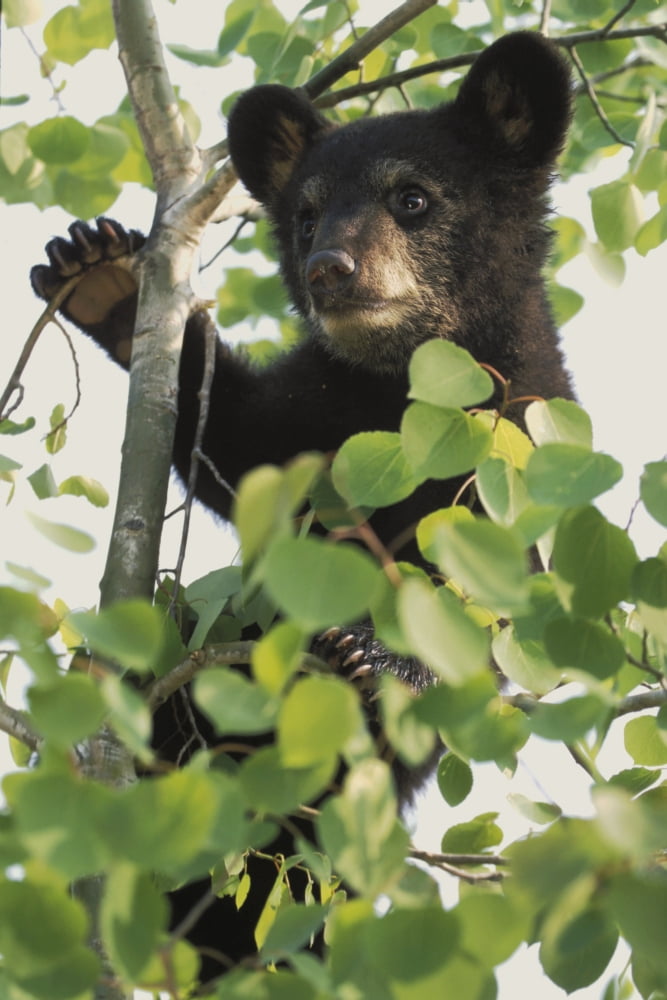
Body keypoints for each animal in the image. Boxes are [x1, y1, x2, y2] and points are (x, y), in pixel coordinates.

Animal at [30, 31, 574, 986]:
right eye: (307, 215)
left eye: (412, 197)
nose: (329, 271)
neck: (399, 388)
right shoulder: (314, 411)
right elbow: (237, 443)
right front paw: (102, 276)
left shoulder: (516, 438)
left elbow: (486, 601)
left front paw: (373, 655)